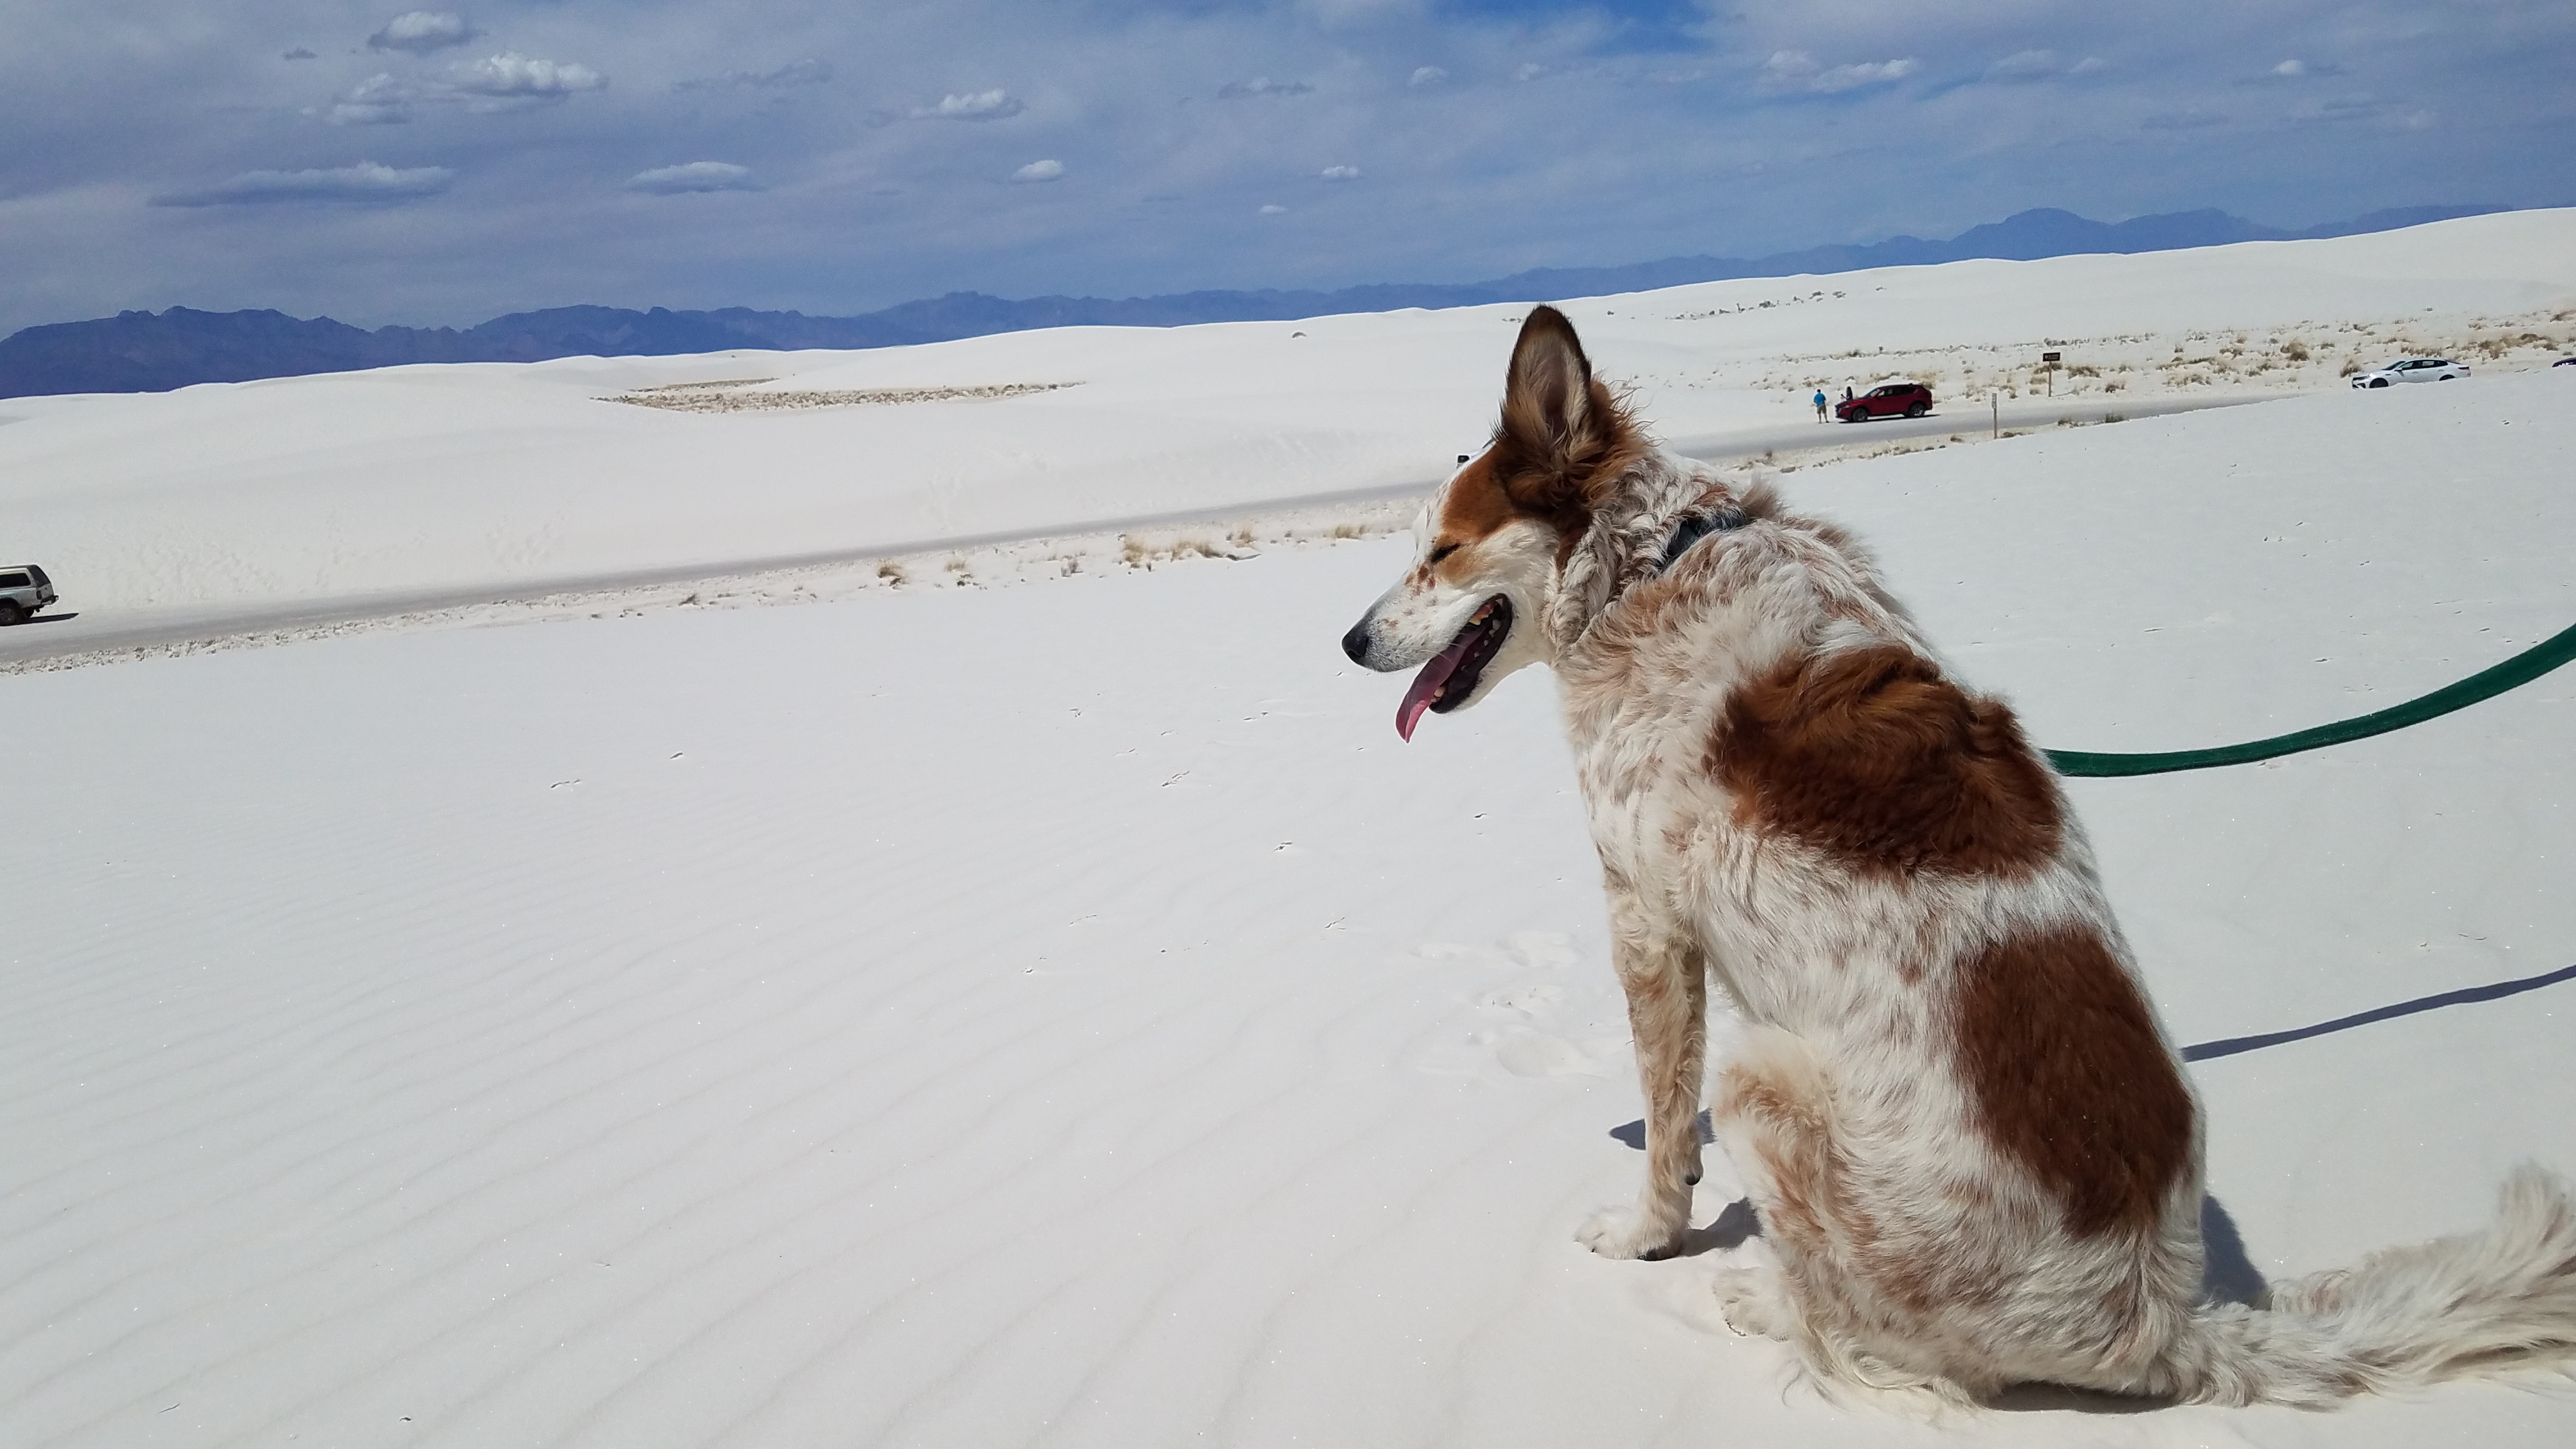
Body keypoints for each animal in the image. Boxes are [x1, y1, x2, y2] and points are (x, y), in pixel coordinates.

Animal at [1339, 304, 2565, 1402]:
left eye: (1441, 552)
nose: (1348, 641)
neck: (1650, 566)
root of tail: (2167, 1327)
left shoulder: (1644, 919)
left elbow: (1662, 1119)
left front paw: (1650, 1232)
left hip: (1763, 1079)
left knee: (1861, 1332)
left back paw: (1763, 1298)